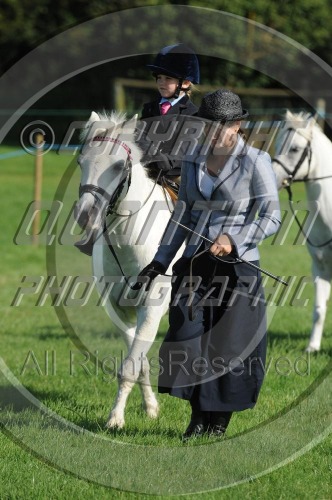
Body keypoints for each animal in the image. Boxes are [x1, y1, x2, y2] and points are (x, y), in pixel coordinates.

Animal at [75, 111, 180, 428]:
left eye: (118, 166)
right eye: (80, 162)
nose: (85, 215)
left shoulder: (152, 308)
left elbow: (132, 366)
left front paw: (115, 420)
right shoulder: (119, 310)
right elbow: (138, 363)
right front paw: (149, 409)